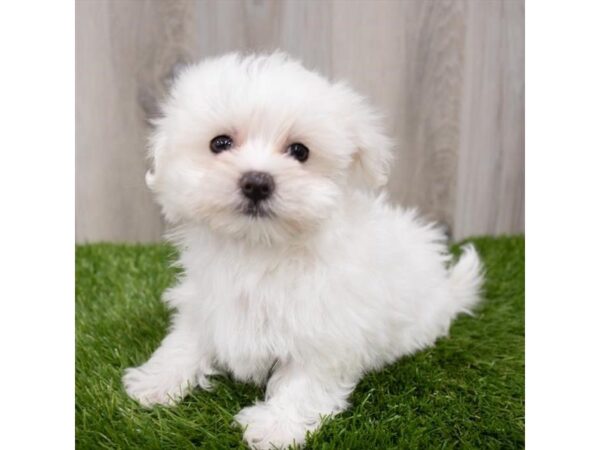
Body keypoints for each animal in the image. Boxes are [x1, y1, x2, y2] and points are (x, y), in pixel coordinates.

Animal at [122, 51, 482, 446]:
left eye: (300, 151)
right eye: (220, 143)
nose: (257, 182)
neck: (260, 248)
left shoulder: (326, 328)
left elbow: (304, 380)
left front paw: (276, 426)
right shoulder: (206, 301)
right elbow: (185, 340)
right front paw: (156, 381)